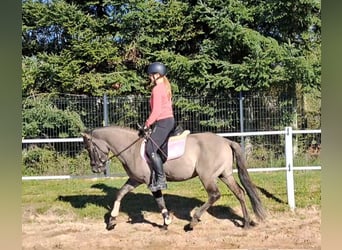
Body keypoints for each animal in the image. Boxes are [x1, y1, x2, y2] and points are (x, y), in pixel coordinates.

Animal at [81, 125, 268, 230]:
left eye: (90, 148)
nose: (95, 167)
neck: (132, 149)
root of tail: (226, 141)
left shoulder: (150, 181)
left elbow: (159, 201)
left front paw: (166, 222)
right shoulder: (135, 180)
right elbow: (120, 193)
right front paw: (112, 220)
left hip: (207, 176)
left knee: (214, 195)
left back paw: (192, 222)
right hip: (225, 174)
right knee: (240, 193)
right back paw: (246, 223)